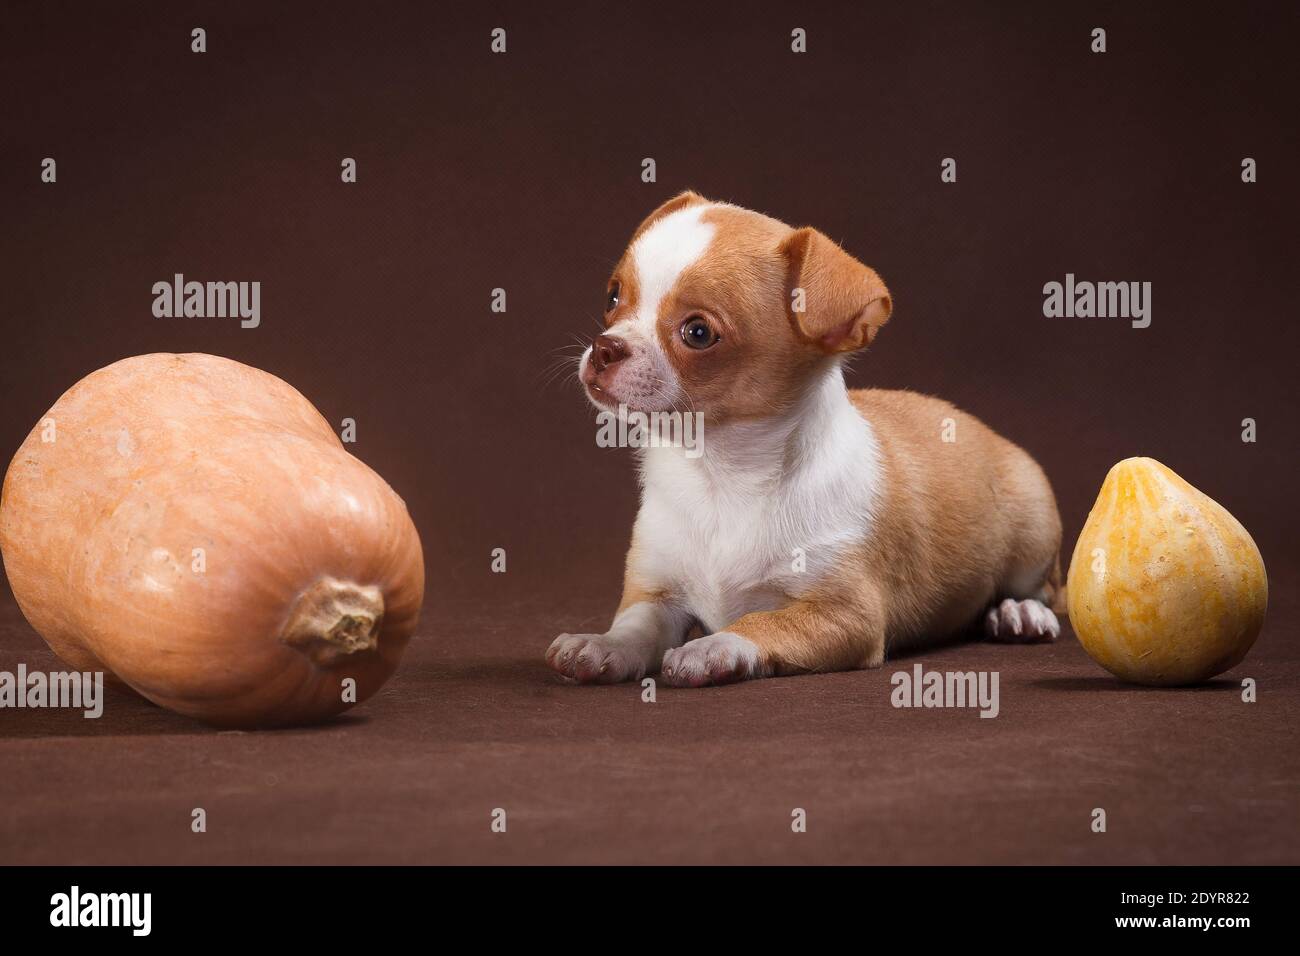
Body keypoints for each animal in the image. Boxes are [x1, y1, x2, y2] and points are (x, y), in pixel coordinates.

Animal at [548, 192, 1066, 686]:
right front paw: (601, 645)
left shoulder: (847, 616)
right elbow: (635, 627)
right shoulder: (656, 592)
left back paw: (1020, 612)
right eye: (613, 297)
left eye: (697, 332)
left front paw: (713, 647)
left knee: (1042, 589)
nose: (604, 347)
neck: (719, 475)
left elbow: (762, 623)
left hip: (1032, 527)